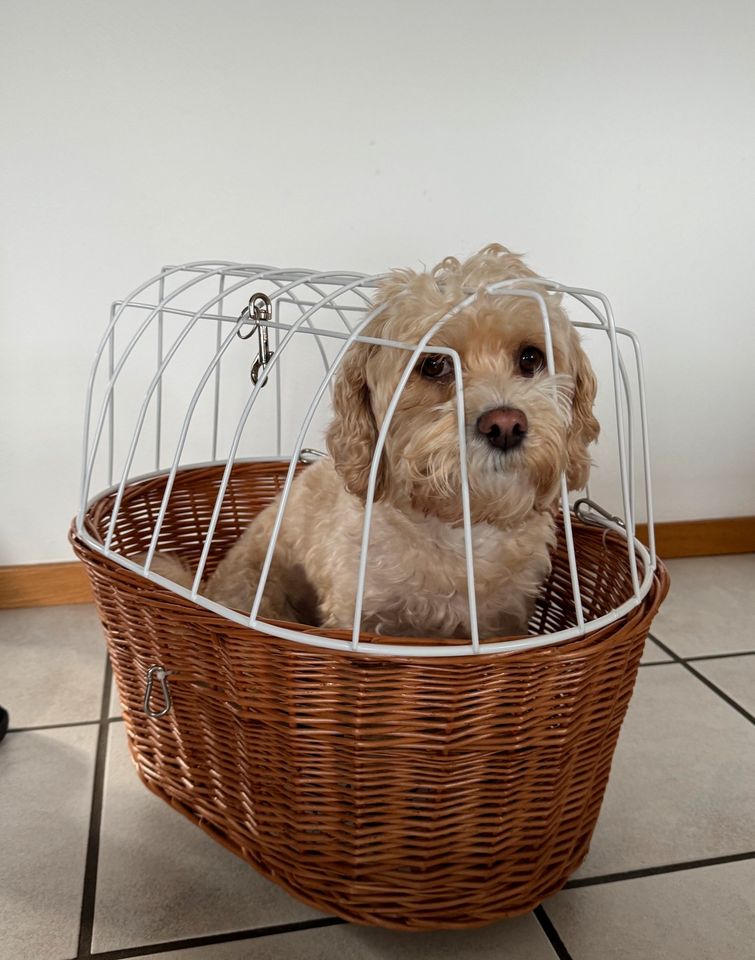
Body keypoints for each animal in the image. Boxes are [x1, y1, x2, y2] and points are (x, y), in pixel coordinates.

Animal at [155, 246, 604, 636]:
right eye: (434, 364)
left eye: (530, 358)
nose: (505, 424)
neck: (458, 526)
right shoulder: (359, 613)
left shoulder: (504, 620)